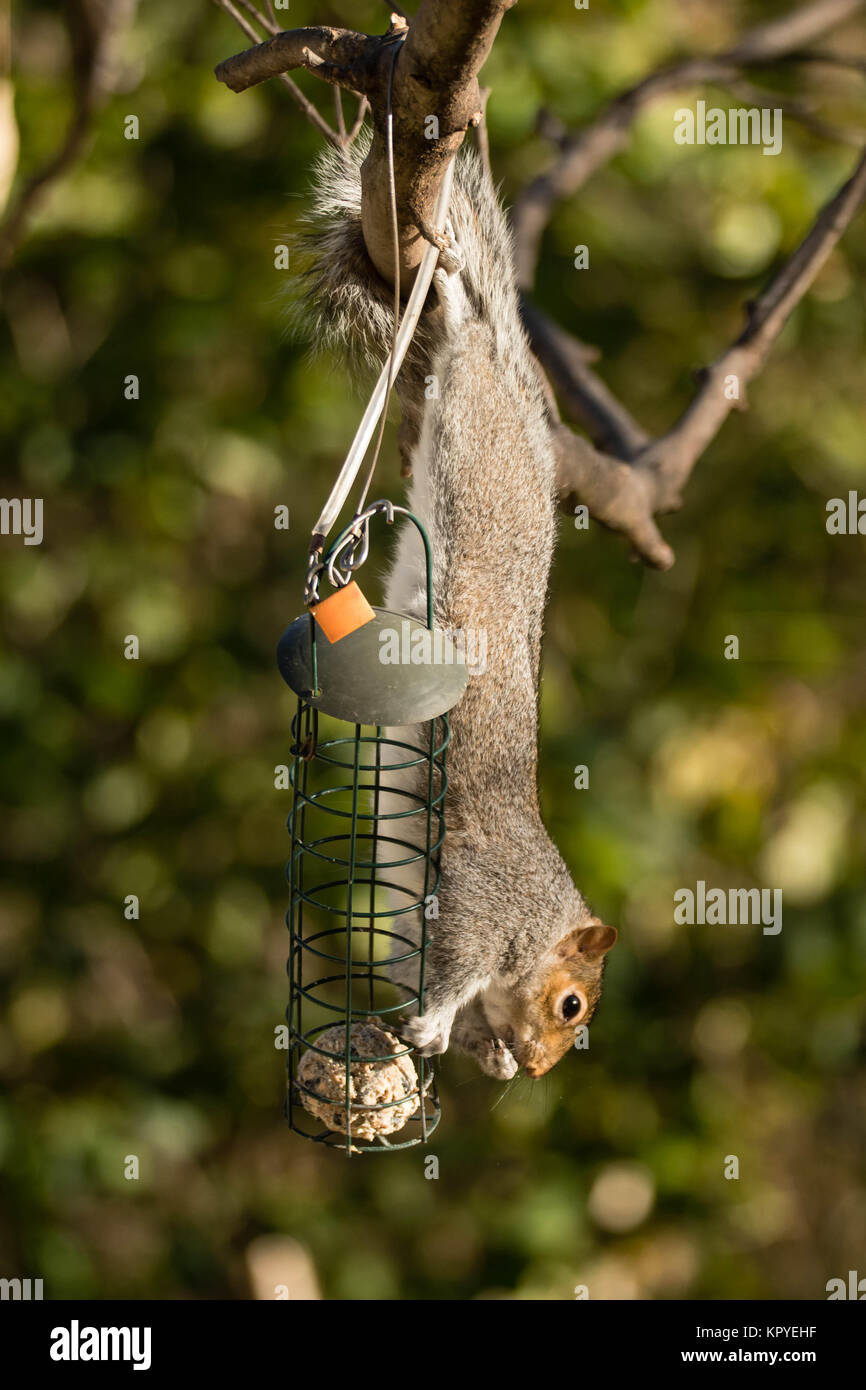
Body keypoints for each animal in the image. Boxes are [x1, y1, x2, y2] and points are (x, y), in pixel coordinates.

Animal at [302, 133, 617, 1081]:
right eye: (572, 1004)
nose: (540, 1069)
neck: (535, 917)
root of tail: (521, 392)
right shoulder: (477, 905)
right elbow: (450, 973)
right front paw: (436, 1026)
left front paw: (485, 1056)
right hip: (477, 425)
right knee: (465, 329)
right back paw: (442, 282)